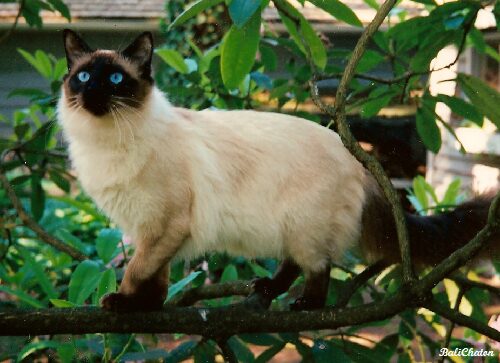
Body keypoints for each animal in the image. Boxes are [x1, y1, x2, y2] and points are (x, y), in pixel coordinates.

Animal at [57, 29, 496, 312]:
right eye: (84, 76)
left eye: (115, 78)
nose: (91, 91)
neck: (107, 142)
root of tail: (357, 160)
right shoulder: (151, 229)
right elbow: (155, 274)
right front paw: (147, 308)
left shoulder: (166, 224)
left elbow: (136, 270)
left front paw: (122, 301)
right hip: (290, 229)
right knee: (293, 263)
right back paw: (267, 287)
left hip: (303, 225)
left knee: (318, 267)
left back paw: (306, 304)